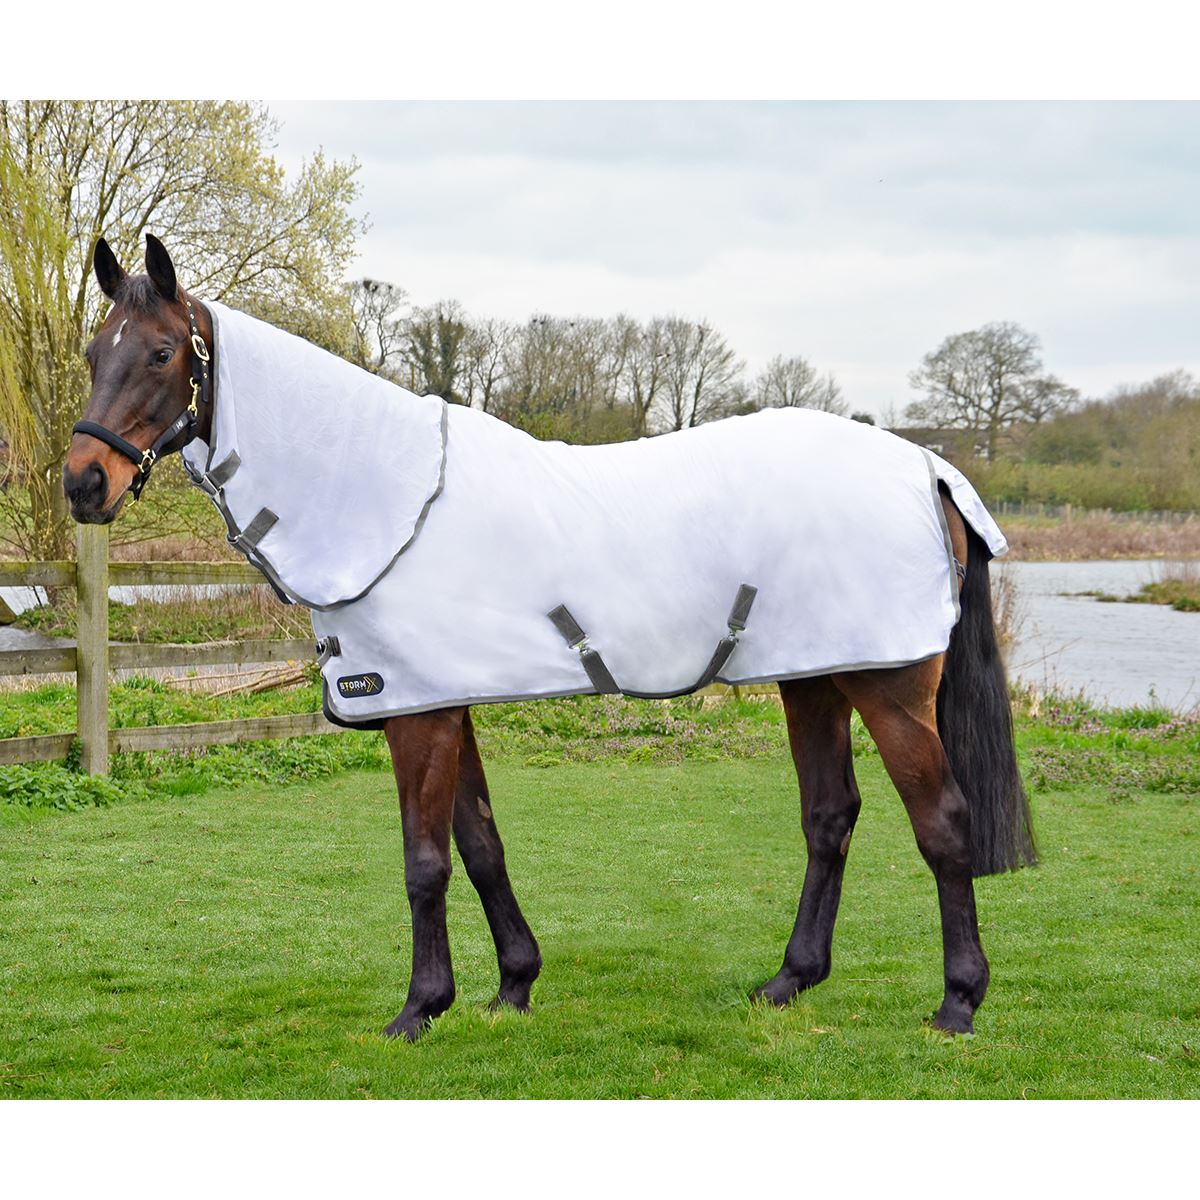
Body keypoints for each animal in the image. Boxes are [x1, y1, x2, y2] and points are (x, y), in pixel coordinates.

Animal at [64, 235, 1035, 1042]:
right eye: (91, 354)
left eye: (160, 353)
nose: (83, 483)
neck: (384, 493)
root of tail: (928, 465)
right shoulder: (445, 700)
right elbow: (481, 846)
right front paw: (511, 988)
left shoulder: (417, 714)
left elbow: (424, 862)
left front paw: (419, 1009)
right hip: (817, 676)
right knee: (829, 817)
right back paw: (790, 981)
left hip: (890, 684)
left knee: (941, 824)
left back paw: (958, 1002)